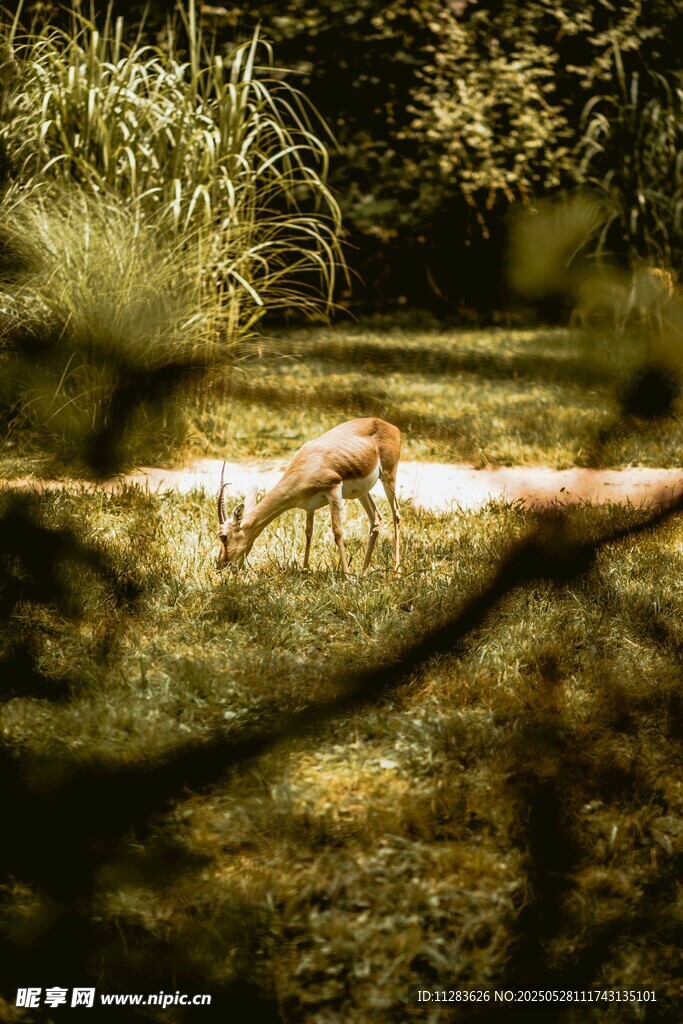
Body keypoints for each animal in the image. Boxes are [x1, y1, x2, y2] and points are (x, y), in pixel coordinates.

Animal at [217, 418, 401, 576]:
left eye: (223, 536)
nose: (221, 563)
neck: (306, 467)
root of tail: (392, 426)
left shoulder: (333, 491)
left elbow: (337, 532)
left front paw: (346, 575)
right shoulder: (309, 506)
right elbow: (308, 532)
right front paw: (304, 570)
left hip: (388, 476)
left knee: (396, 514)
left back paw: (396, 570)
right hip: (362, 492)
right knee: (376, 518)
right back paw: (363, 572)